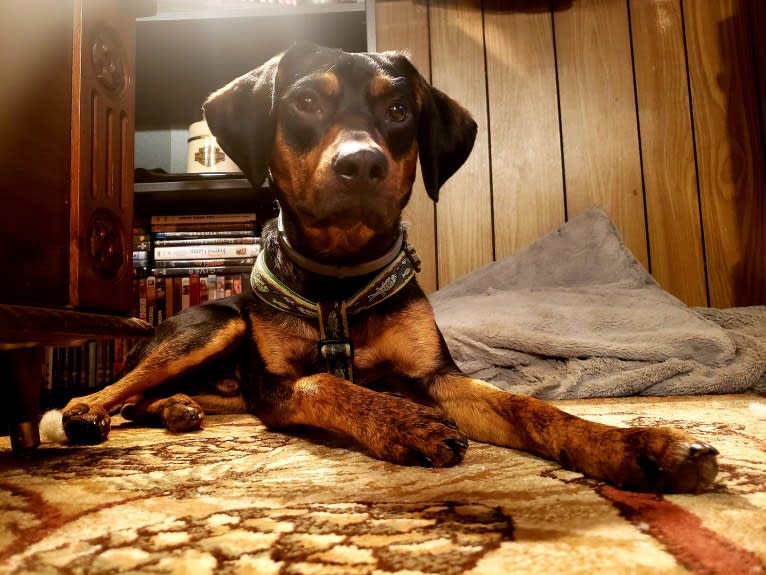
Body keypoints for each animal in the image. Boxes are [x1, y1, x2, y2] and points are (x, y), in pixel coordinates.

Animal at [58, 45, 720, 496]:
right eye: (305, 102)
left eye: (399, 109)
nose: (361, 164)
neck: (340, 275)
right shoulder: (275, 384)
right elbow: (327, 383)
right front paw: (407, 423)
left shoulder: (435, 374)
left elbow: (527, 407)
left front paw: (638, 445)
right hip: (218, 326)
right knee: (122, 386)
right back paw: (88, 412)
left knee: (153, 397)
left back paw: (176, 410)